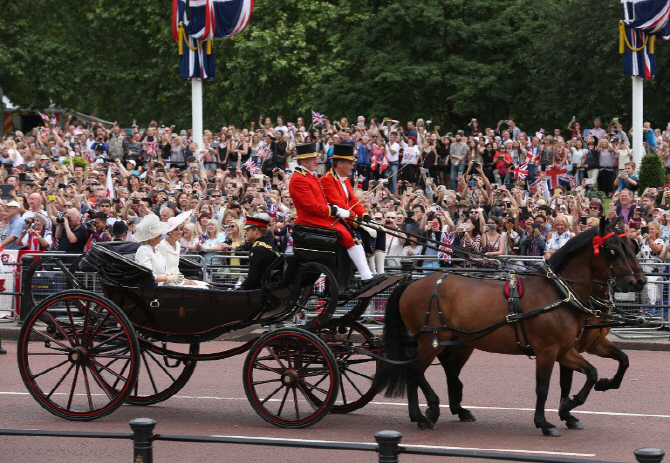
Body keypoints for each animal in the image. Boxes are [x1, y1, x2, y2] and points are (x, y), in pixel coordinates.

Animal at [378, 223, 640, 436]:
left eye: (632, 248)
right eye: (612, 250)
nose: (634, 282)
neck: (560, 292)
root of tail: (411, 283)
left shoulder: (567, 349)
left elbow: (596, 371)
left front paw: (576, 403)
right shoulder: (547, 350)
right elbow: (543, 388)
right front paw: (545, 422)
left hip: (455, 343)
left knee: (434, 372)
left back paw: (434, 413)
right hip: (430, 340)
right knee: (415, 370)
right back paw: (428, 411)